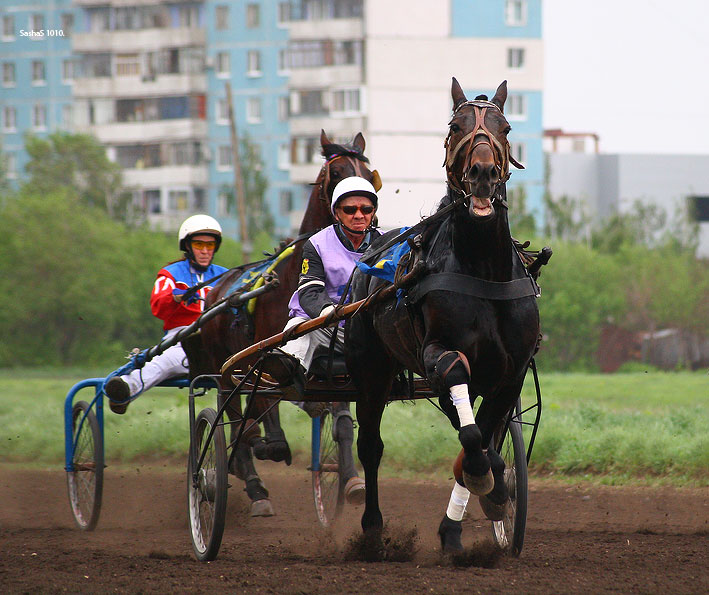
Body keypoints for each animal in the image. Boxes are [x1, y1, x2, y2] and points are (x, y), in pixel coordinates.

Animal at [196, 130, 378, 516]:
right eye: (337, 172)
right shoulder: (265, 355)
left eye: (370, 174)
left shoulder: (335, 367)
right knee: (236, 415)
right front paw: (262, 448)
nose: (365, 209)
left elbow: (342, 425)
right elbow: (261, 425)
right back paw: (253, 481)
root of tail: (219, 288)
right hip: (225, 367)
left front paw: (353, 481)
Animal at [346, 78, 540, 548]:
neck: (483, 269)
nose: (484, 173)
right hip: (371, 371)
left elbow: (486, 440)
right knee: (371, 446)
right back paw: (373, 529)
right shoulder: (439, 353)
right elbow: (470, 429)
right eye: (456, 126)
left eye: (505, 127)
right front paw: (483, 487)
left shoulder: (512, 370)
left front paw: (494, 494)